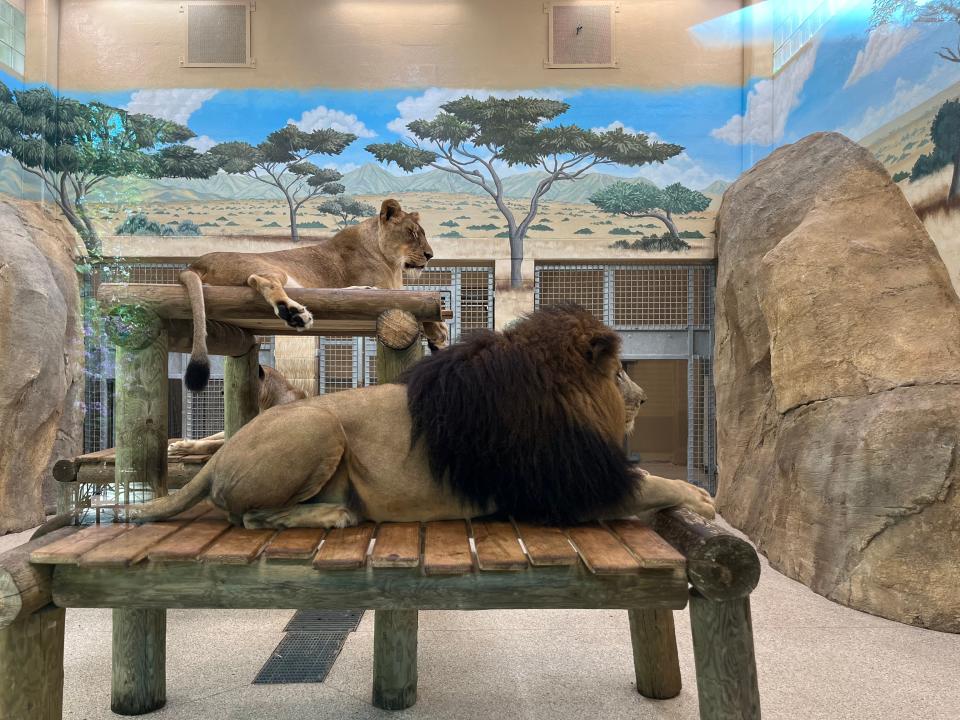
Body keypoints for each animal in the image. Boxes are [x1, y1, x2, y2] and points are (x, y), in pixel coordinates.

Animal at [125, 306, 712, 528]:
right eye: (618, 375)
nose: (642, 397)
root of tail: (224, 451)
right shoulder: (569, 485)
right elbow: (654, 485)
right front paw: (701, 497)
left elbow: (650, 480)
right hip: (320, 427)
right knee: (253, 519)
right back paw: (335, 517)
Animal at [182, 197, 448, 390]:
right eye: (412, 233)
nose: (430, 255)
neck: (393, 264)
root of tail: (195, 264)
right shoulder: (388, 290)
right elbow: (420, 303)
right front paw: (438, 330)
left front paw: (438, 336)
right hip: (273, 269)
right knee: (259, 280)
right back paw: (293, 312)